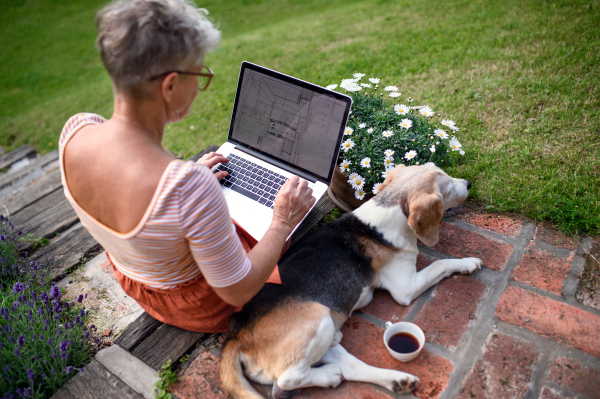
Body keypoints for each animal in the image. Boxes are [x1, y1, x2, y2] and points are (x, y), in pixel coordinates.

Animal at [220, 164, 482, 398]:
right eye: (447, 189)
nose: (469, 183)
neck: (387, 211)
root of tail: (236, 335)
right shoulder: (405, 289)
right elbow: (441, 264)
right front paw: (468, 262)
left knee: (351, 368)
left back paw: (396, 381)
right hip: (319, 320)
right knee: (287, 380)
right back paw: (328, 376)